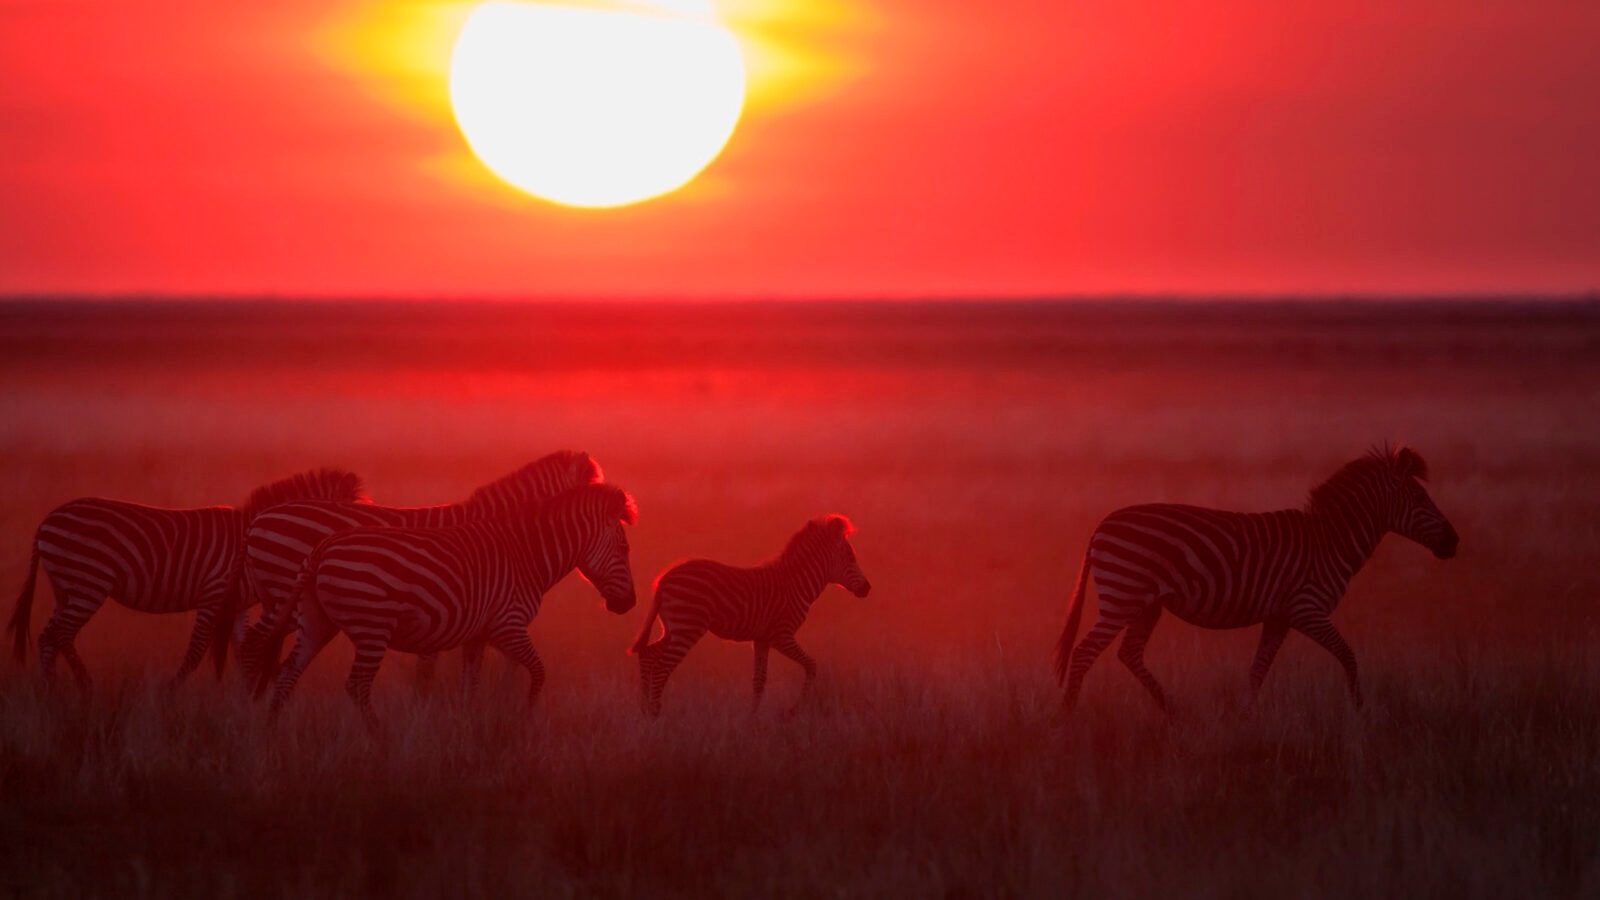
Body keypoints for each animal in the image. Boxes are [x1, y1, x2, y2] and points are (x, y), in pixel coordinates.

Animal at [7, 468, 368, 689]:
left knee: (57, 636)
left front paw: (242, 694)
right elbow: (196, 651)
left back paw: (75, 689)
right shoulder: (214, 593)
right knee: (54, 635)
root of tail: (45, 522)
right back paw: (60, 692)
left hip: (67, 587)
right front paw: (172, 692)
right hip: (87, 583)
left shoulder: (236, 605)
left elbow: (241, 648)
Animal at [261, 482, 638, 730]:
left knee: (288, 673)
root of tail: (323, 549)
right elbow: (538, 672)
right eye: (624, 549)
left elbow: (470, 685)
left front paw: (467, 725)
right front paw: (525, 718)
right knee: (356, 685)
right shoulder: (508, 626)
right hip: (372, 628)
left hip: (316, 621)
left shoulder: (479, 635)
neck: (526, 555)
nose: (629, 604)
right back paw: (379, 739)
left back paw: (273, 735)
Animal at [631, 514, 871, 718]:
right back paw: (657, 715)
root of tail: (664, 579)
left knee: (648, 654)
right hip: (687, 627)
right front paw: (793, 710)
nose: (867, 589)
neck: (795, 584)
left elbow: (759, 680)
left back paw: (644, 711)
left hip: (673, 627)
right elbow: (811, 666)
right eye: (851, 557)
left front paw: (752, 718)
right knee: (662, 666)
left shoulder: (762, 639)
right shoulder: (781, 636)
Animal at [1053, 445, 1459, 714]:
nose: (1454, 542)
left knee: (1129, 654)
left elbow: (1258, 670)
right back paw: (1071, 718)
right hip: (1124, 596)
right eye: (1419, 496)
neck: (1330, 541)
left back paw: (1172, 712)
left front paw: (1246, 716)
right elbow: (1348, 655)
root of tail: (1101, 525)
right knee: (1085, 652)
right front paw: (1358, 710)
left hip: (1147, 604)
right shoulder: (1306, 609)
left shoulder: (1279, 616)